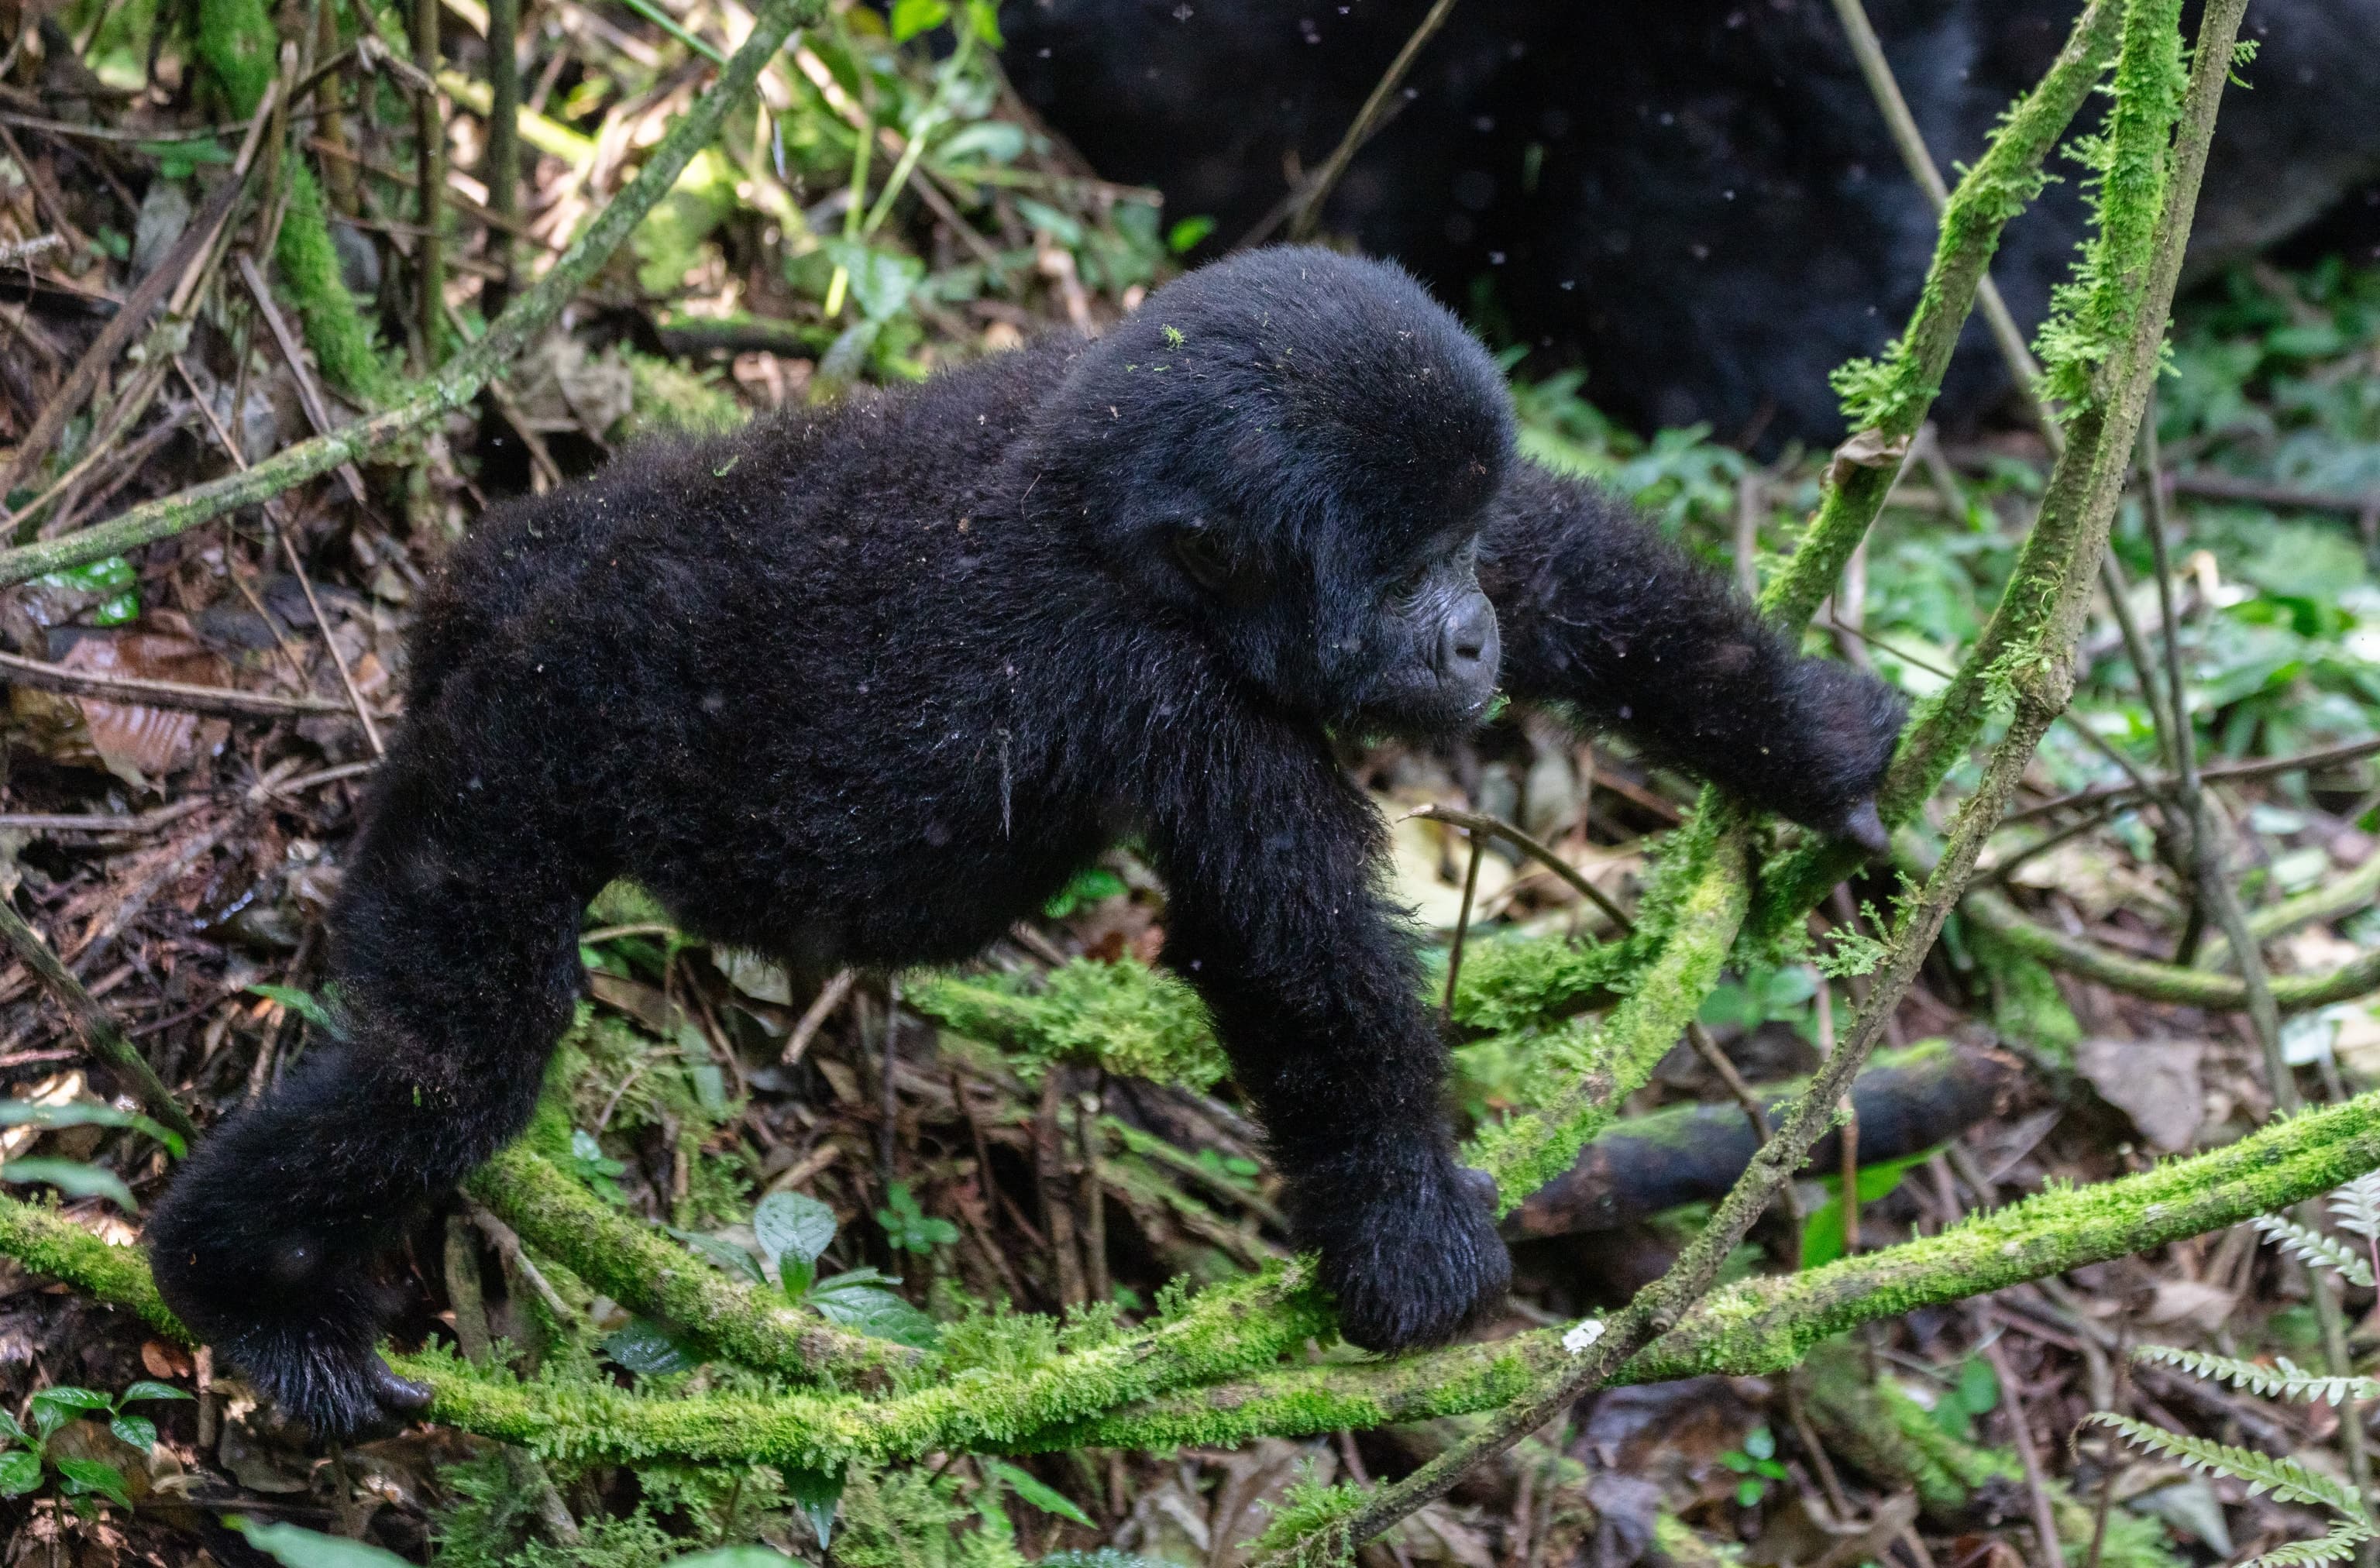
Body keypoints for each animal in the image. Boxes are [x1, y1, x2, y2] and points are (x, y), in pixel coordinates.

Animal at [145, 247, 1906, 1435]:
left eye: (1458, 551)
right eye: (1406, 579)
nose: (1467, 637)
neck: (1100, 500)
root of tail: (491, 649)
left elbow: (1577, 566)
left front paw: (1816, 744)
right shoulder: (1171, 694)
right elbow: (1299, 965)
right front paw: (1406, 1226)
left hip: (531, 597)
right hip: (504, 779)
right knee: (447, 1064)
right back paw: (243, 1288)